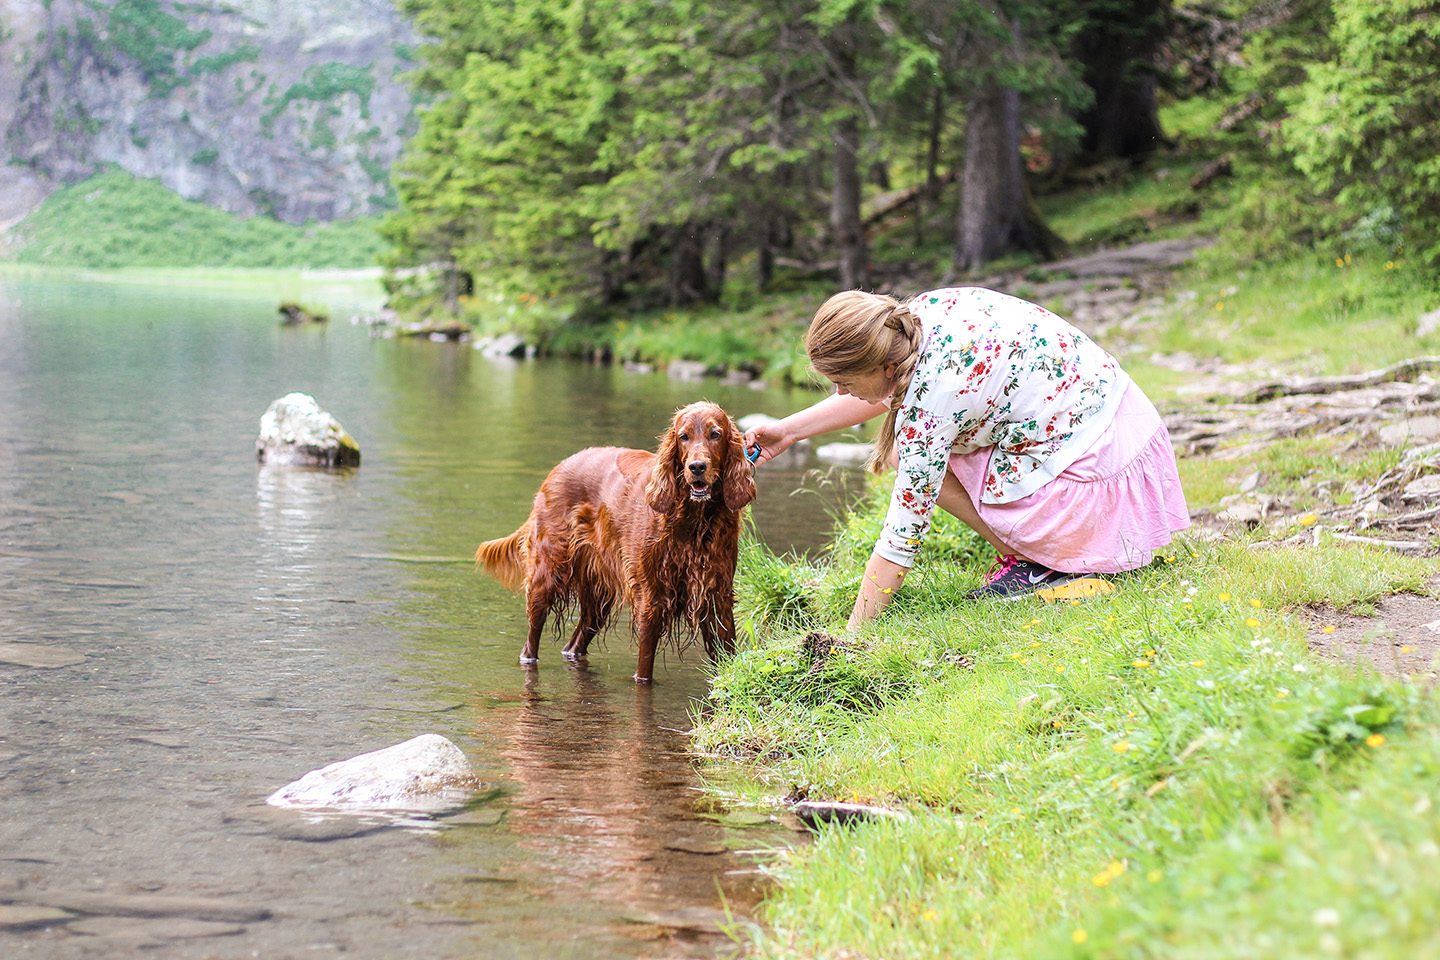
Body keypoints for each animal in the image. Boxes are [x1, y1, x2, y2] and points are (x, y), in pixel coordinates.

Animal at [478, 402, 760, 687]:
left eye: (715, 434)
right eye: (684, 436)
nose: (697, 467)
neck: (692, 520)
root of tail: (556, 469)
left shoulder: (716, 597)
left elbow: (727, 656)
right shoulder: (651, 600)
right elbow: (644, 671)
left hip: (597, 598)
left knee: (575, 641)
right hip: (546, 576)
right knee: (531, 642)